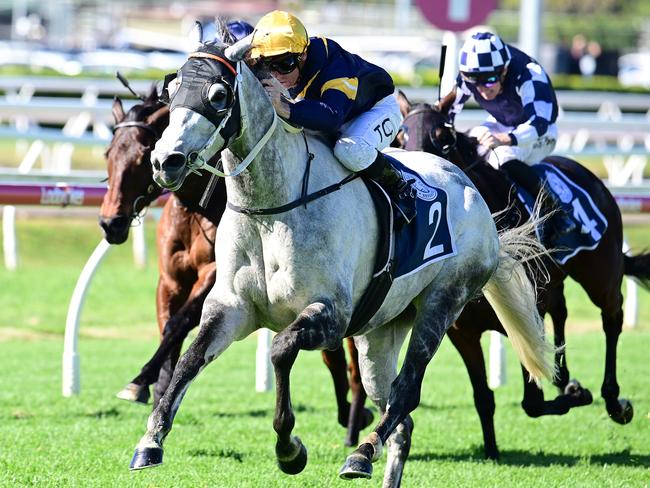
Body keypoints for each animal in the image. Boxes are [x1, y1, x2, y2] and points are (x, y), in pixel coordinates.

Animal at [96, 86, 370, 446]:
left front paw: (140, 382)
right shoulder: (170, 280)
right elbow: (169, 327)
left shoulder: (214, 275)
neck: (197, 207)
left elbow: (177, 324)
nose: (110, 223)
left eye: (142, 156)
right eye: (109, 154)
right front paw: (158, 394)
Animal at [394, 90, 648, 458]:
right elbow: (484, 396)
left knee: (612, 318)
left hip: (601, 274)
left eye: (443, 138)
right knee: (562, 312)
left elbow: (532, 401)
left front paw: (577, 394)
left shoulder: (524, 314)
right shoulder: (461, 331)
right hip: (554, 286)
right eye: (400, 137)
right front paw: (492, 450)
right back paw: (566, 378)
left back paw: (614, 400)